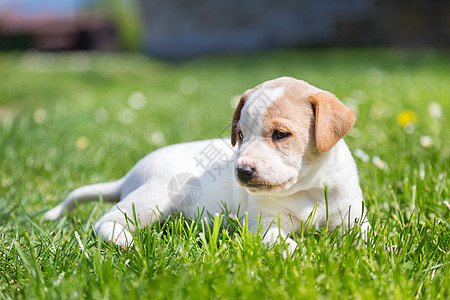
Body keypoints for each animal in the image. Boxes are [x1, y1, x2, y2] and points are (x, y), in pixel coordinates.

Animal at [44, 77, 370, 253]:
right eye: (241, 135)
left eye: (280, 134)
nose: (242, 171)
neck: (308, 190)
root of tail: (129, 177)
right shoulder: (263, 225)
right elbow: (282, 242)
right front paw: (299, 253)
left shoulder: (352, 217)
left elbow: (367, 236)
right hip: (154, 198)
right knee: (107, 220)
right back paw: (123, 240)